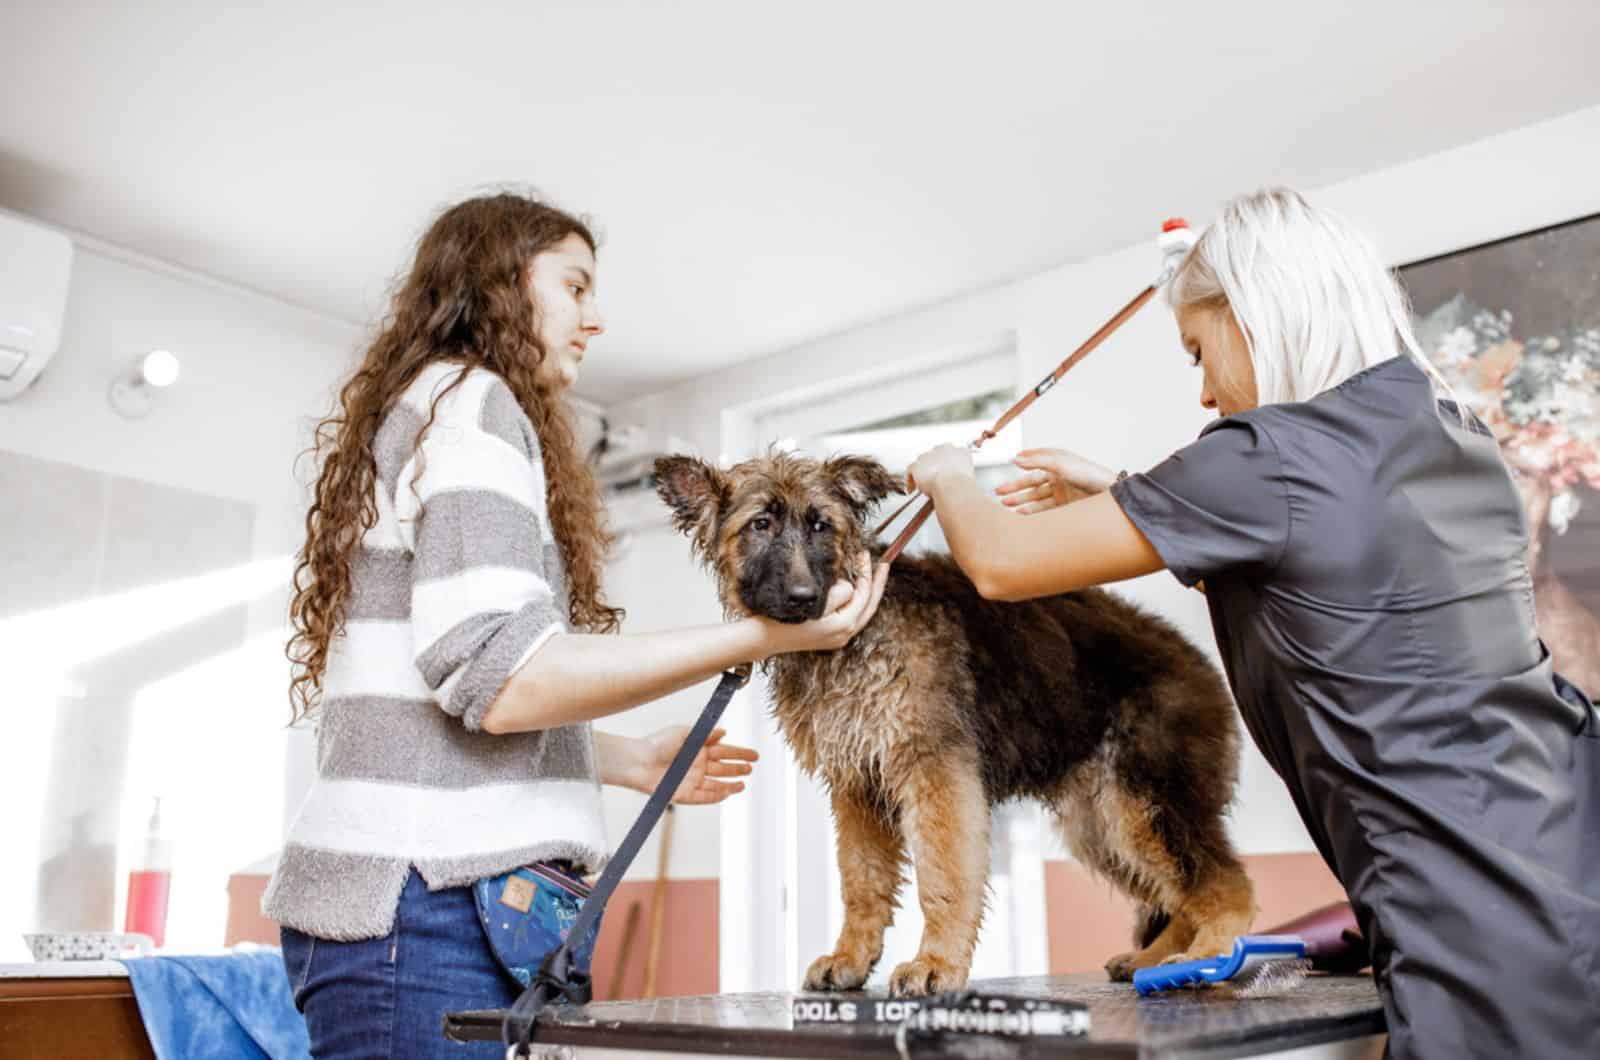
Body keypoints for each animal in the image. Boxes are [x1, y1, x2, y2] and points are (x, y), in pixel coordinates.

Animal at [656, 451, 1254, 999]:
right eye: (760, 524)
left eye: (821, 525)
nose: (805, 599)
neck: (861, 632)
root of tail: (1197, 659)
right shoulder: (858, 786)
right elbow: (861, 881)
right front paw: (852, 957)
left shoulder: (934, 771)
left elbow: (942, 876)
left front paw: (936, 963)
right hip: (1101, 823)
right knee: (1182, 892)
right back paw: (1156, 958)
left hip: (1143, 804)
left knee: (1225, 882)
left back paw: (1205, 954)